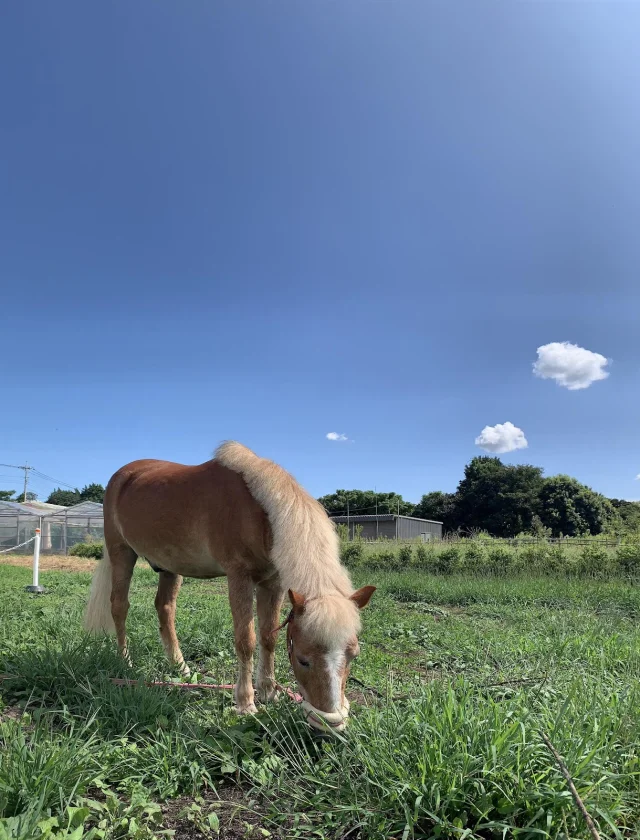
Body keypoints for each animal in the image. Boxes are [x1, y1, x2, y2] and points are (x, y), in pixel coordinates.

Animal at [84, 441, 375, 731]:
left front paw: (268, 692)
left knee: (165, 608)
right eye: (303, 659)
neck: (259, 512)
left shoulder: (273, 583)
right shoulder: (239, 577)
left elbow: (269, 637)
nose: (329, 724)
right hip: (122, 553)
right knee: (119, 606)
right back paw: (125, 662)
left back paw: (180, 668)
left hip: (169, 566)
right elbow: (246, 640)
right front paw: (246, 704)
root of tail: (124, 475)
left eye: (354, 655)